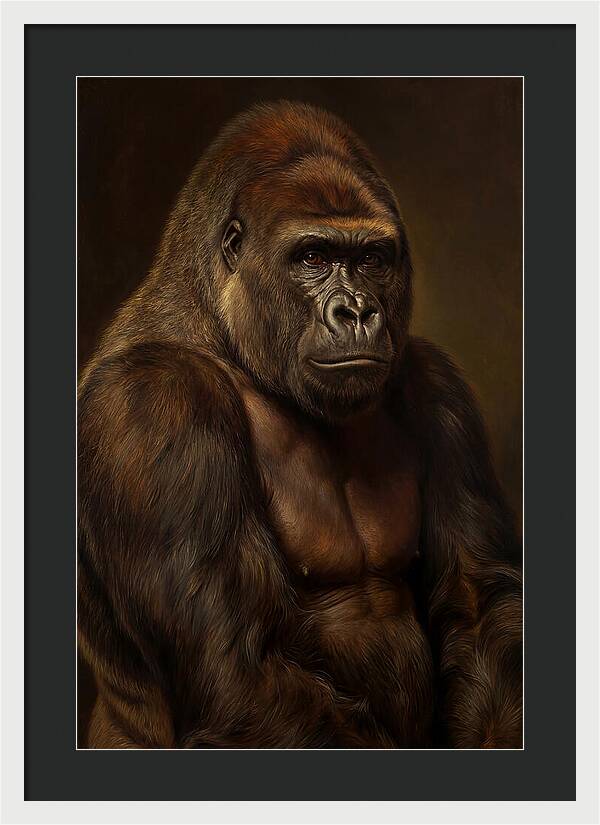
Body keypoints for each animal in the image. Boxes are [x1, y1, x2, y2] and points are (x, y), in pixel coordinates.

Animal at [78, 100, 522, 749]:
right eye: (312, 257)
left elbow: (478, 604)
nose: (357, 312)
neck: (226, 334)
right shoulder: (154, 402)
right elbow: (234, 668)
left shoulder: (438, 386)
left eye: (371, 259)